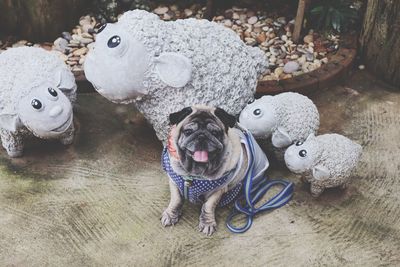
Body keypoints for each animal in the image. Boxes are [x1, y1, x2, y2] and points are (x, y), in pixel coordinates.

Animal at [160, 105, 268, 236]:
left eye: (215, 133)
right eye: (188, 131)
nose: (201, 136)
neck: (194, 173)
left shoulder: (217, 191)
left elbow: (208, 206)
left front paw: (207, 223)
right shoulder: (174, 182)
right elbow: (176, 200)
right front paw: (171, 215)